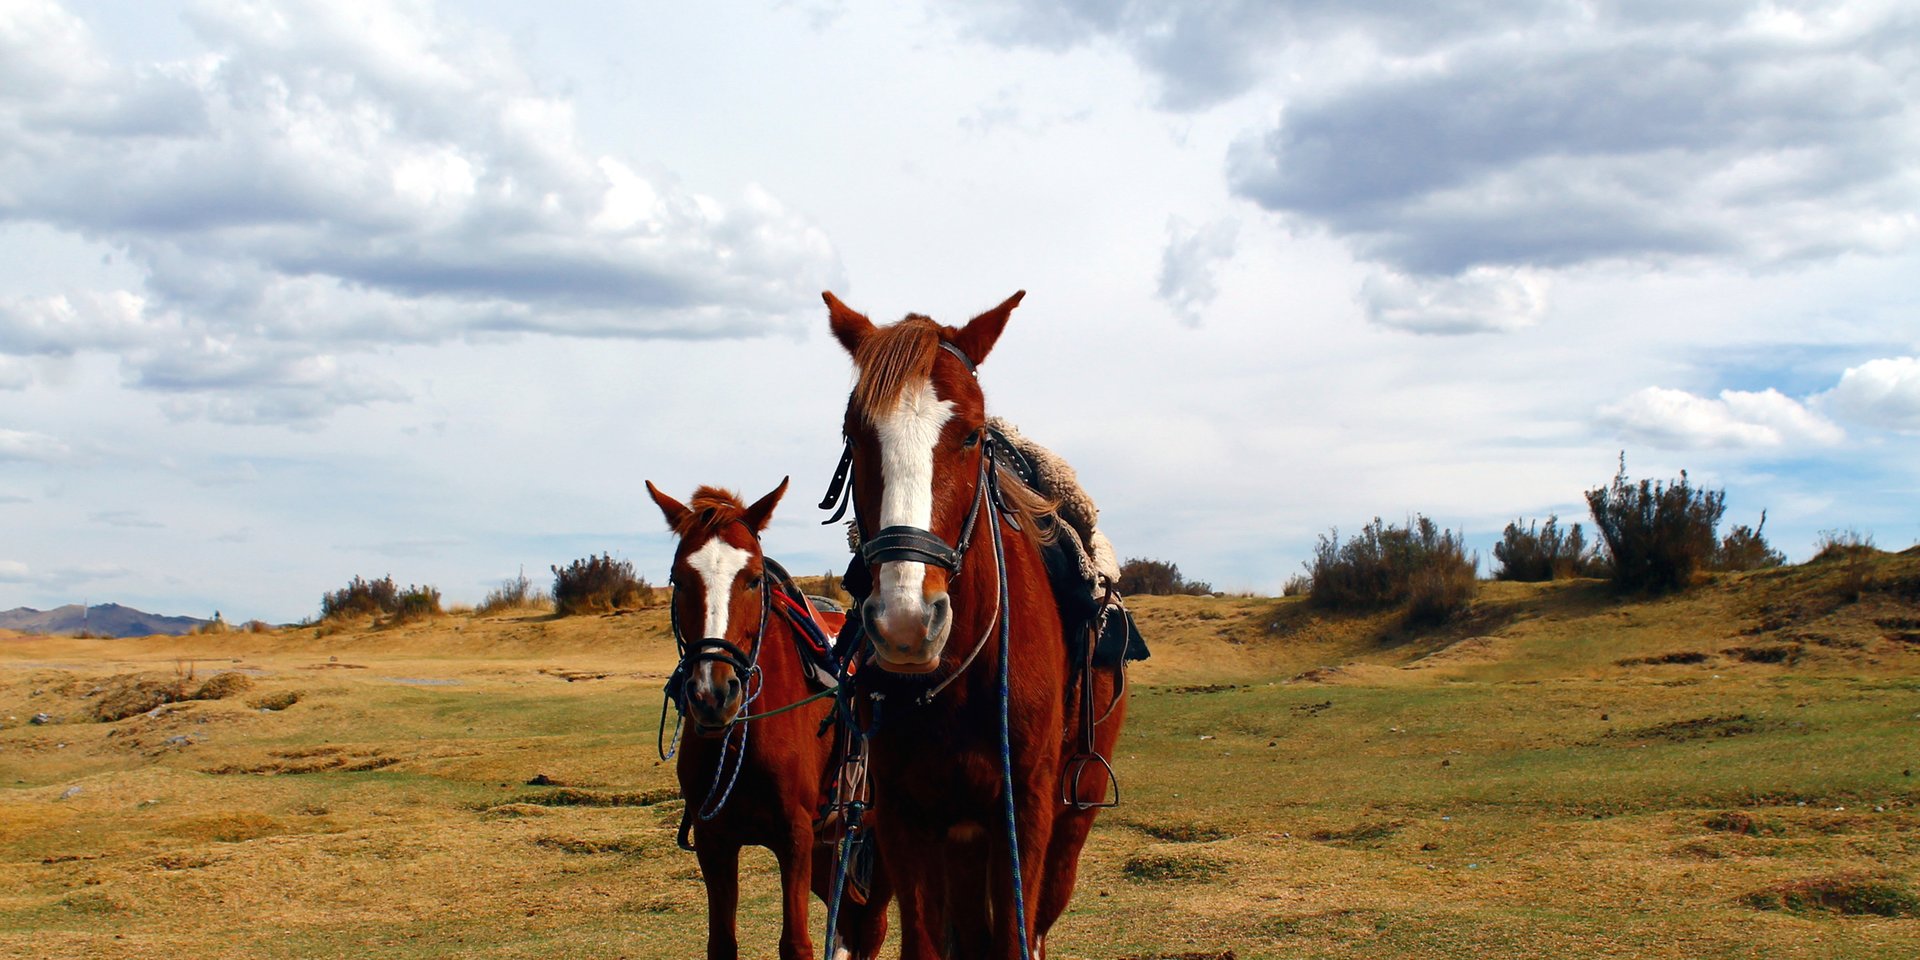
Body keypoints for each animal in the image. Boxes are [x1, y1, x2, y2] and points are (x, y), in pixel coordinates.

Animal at [641, 483, 887, 960]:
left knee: (871, 925)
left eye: (753, 578)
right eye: (679, 578)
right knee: (851, 919)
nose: (713, 693)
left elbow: (796, 944)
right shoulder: (714, 840)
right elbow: (722, 943)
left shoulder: (794, 838)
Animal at [821, 293, 1121, 960]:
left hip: (1068, 823)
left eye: (970, 435)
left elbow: (1017, 937)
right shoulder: (903, 817)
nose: (906, 621)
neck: (958, 679)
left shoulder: (1024, 813)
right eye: (855, 434)